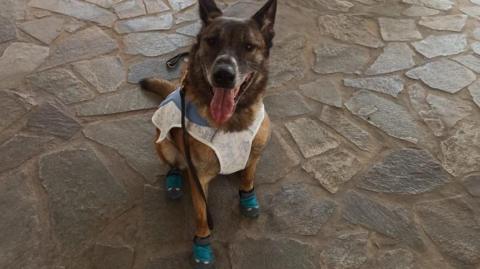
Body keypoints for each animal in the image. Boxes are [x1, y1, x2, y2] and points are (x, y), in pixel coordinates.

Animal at [139, 0, 278, 264]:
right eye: (212, 41)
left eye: (248, 46)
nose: (223, 75)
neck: (232, 120)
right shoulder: (199, 178)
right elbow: (202, 215)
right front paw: (202, 243)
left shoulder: (255, 153)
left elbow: (248, 178)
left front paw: (247, 193)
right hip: (162, 144)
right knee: (174, 165)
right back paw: (174, 180)